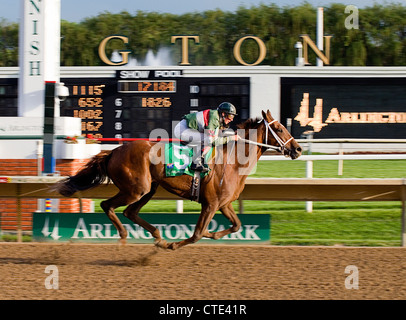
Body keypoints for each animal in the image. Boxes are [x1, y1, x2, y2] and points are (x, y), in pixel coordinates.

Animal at [57, 110, 302, 250]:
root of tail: (114, 151)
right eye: (279, 128)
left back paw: (158, 237)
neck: (233, 161)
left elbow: (236, 225)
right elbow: (197, 234)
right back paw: (125, 236)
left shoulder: (224, 204)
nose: (298, 149)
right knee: (108, 205)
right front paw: (175, 244)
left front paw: (213, 234)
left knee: (130, 212)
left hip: (148, 189)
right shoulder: (211, 203)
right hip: (136, 189)